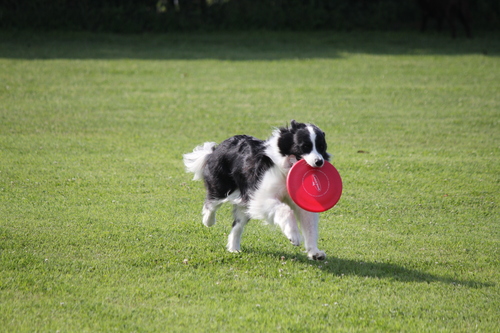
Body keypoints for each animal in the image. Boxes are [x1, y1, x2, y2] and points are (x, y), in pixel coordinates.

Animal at [184, 119, 332, 260]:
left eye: (321, 147)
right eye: (305, 147)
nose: (319, 162)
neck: (286, 168)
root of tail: (215, 149)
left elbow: (310, 227)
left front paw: (315, 252)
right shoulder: (259, 197)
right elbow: (285, 209)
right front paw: (293, 235)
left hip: (244, 205)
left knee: (237, 225)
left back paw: (233, 249)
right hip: (222, 186)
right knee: (211, 202)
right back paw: (208, 221)